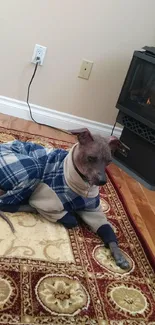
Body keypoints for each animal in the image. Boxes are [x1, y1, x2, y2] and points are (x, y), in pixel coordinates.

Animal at [0, 128, 130, 268]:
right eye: (91, 158)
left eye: (109, 162)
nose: (102, 181)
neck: (84, 186)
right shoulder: (46, 199)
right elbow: (71, 219)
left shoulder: (93, 210)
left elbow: (105, 228)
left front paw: (119, 255)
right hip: (33, 167)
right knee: (5, 202)